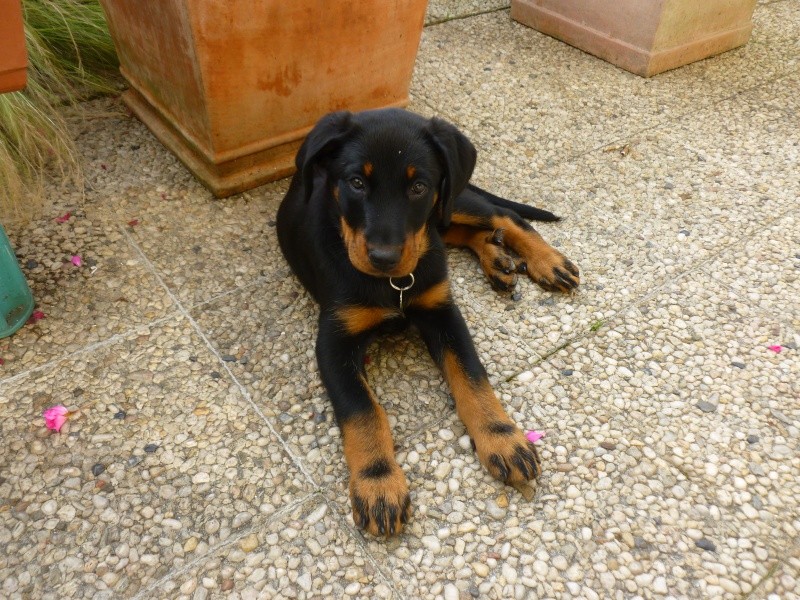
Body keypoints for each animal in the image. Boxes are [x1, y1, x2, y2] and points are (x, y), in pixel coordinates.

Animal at [278, 106, 580, 536]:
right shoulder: (334, 341)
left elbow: (472, 378)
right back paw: (498, 260)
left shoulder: (444, 313)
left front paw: (502, 437)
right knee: (469, 231)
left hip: (452, 199)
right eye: (356, 182)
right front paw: (378, 481)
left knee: (504, 216)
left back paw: (546, 260)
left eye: (418, 186)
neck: (394, 285)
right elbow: (362, 411)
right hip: (445, 213)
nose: (384, 257)